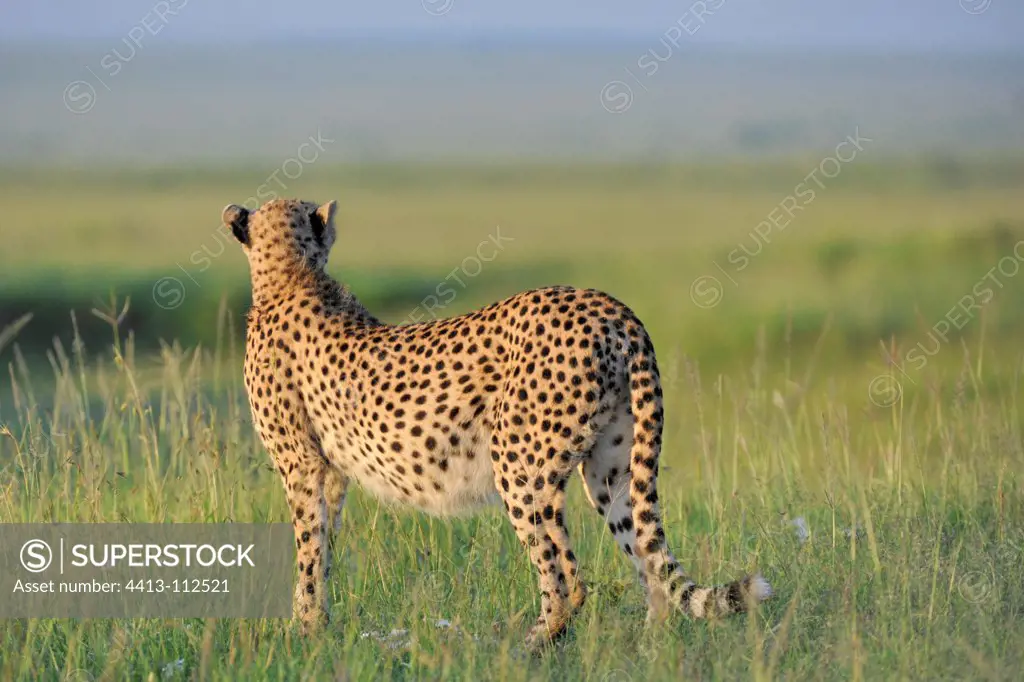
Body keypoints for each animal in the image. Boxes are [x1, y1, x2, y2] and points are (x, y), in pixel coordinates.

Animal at [224, 197, 770, 647]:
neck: (291, 277)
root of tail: (611, 308)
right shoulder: (332, 473)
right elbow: (325, 549)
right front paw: (318, 625)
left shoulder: (302, 467)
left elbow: (308, 550)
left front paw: (303, 631)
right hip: (611, 470)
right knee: (649, 569)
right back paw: (649, 647)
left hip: (518, 462)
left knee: (568, 579)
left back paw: (526, 645)